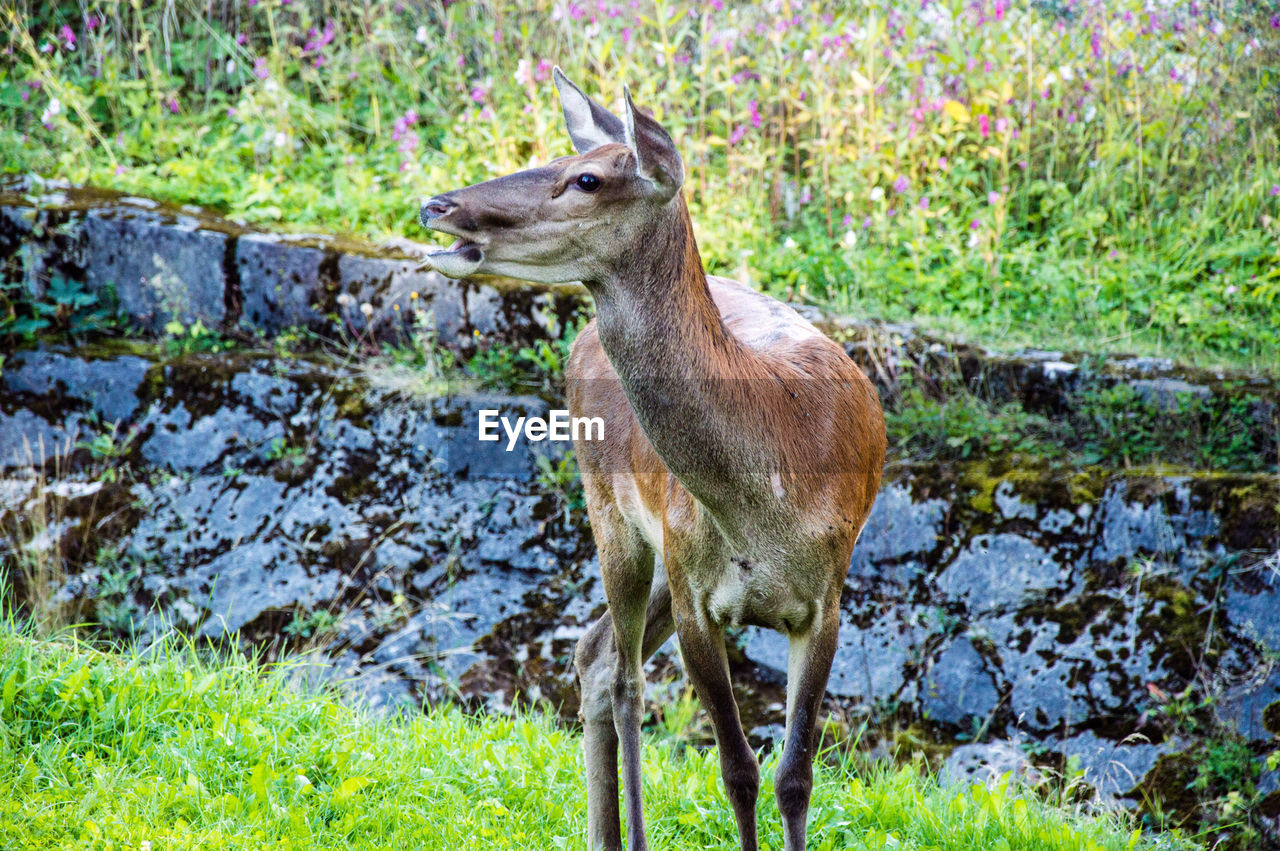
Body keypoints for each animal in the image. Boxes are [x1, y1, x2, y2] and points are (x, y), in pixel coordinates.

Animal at [414, 71, 885, 849]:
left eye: (586, 177)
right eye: (566, 157)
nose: (438, 204)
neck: (771, 490)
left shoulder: (827, 596)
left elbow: (794, 775)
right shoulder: (698, 597)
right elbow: (738, 768)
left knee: (598, 649)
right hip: (615, 514)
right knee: (619, 670)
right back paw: (617, 835)